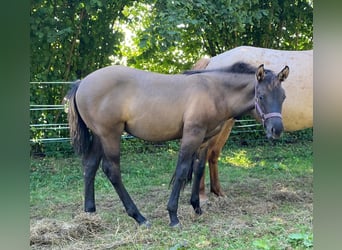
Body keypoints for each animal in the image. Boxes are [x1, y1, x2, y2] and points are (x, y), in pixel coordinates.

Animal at [65, 61, 288, 228]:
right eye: (261, 96)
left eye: (283, 97)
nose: (276, 130)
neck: (214, 92)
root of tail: (82, 82)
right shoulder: (191, 135)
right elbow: (181, 171)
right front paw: (173, 216)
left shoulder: (204, 139)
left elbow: (198, 169)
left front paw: (197, 207)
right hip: (110, 135)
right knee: (112, 171)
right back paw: (139, 217)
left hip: (99, 136)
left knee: (90, 166)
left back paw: (90, 212)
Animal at [192, 46, 312, 200]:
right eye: (260, 97)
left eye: (284, 97)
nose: (277, 130)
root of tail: (211, 60)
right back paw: (201, 195)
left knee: (213, 153)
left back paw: (218, 192)